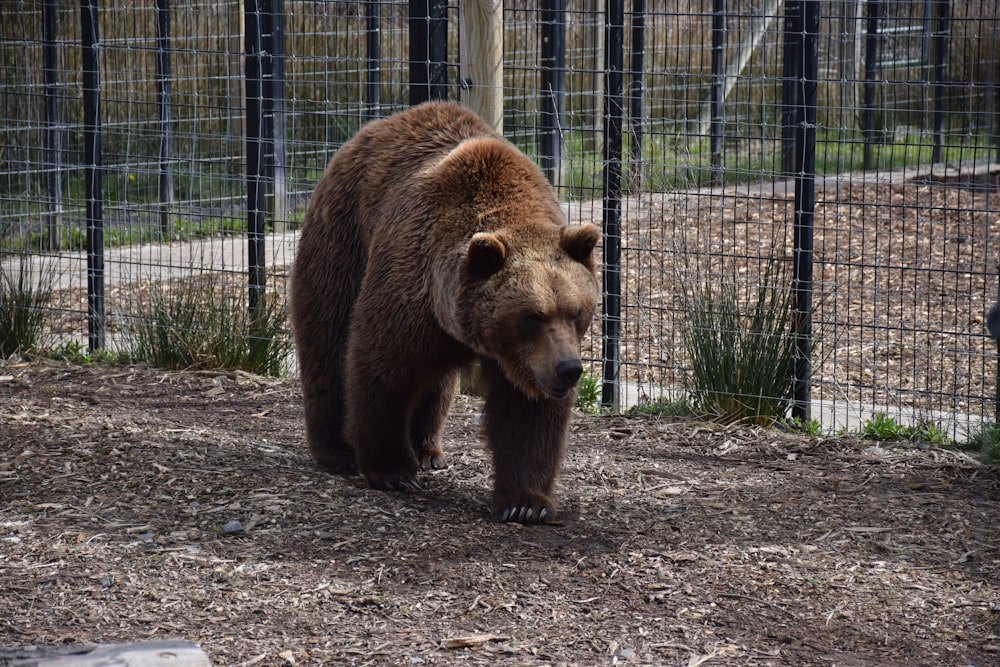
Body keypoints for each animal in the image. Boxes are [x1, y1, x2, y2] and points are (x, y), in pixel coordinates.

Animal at [292, 102, 600, 524]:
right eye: (532, 316)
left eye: (577, 311)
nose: (569, 369)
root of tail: (375, 128)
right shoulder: (412, 287)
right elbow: (383, 369)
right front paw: (392, 471)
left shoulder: (524, 357)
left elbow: (529, 413)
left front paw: (526, 503)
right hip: (342, 238)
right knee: (328, 337)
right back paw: (335, 450)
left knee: (436, 383)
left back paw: (427, 450)